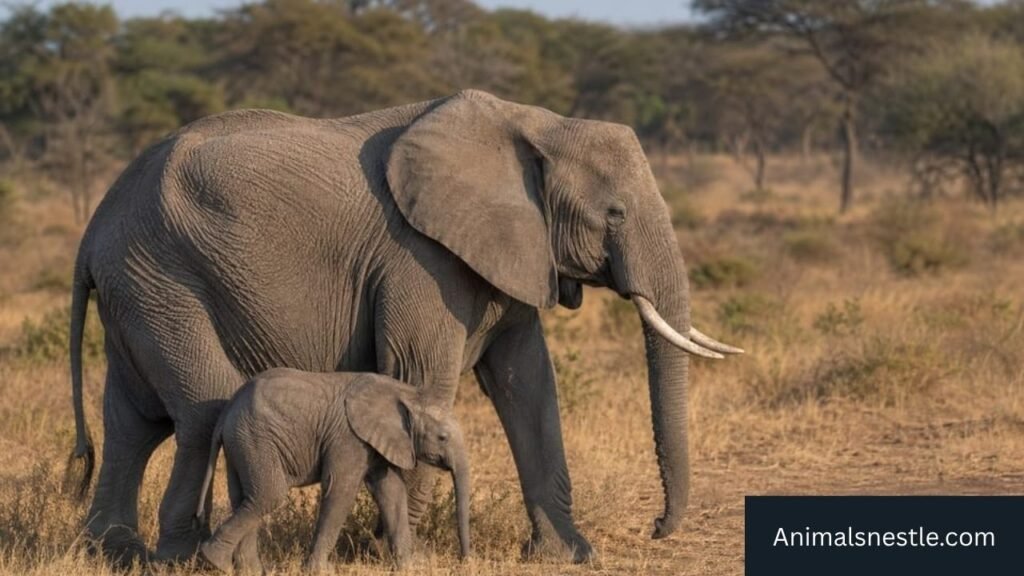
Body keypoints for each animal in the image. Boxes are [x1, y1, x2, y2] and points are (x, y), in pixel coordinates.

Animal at [195, 368, 470, 574]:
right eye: (443, 438)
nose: (465, 560)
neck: (406, 393)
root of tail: (228, 409)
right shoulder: (348, 437)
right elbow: (341, 489)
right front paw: (318, 571)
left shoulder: (375, 440)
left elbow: (391, 491)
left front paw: (408, 567)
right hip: (255, 439)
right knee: (269, 495)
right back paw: (215, 562)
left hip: (241, 443)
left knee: (245, 497)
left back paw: (250, 571)